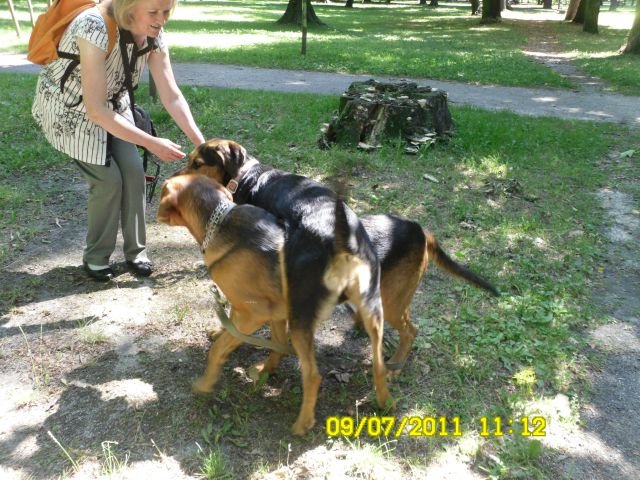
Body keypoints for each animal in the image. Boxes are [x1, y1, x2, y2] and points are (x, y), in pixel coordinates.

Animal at [158, 174, 392, 436]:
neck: (219, 222)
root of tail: (342, 244)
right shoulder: (273, 312)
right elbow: (263, 339)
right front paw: (259, 365)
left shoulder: (255, 314)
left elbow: (218, 349)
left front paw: (205, 383)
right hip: (371, 313)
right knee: (379, 366)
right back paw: (385, 403)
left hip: (301, 323)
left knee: (313, 376)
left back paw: (302, 423)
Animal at [174, 139, 500, 372]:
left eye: (198, 163)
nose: (173, 177)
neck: (246, 176)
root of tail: (420, 229)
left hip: (394, 300)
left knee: (411, 331)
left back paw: (395, 363)